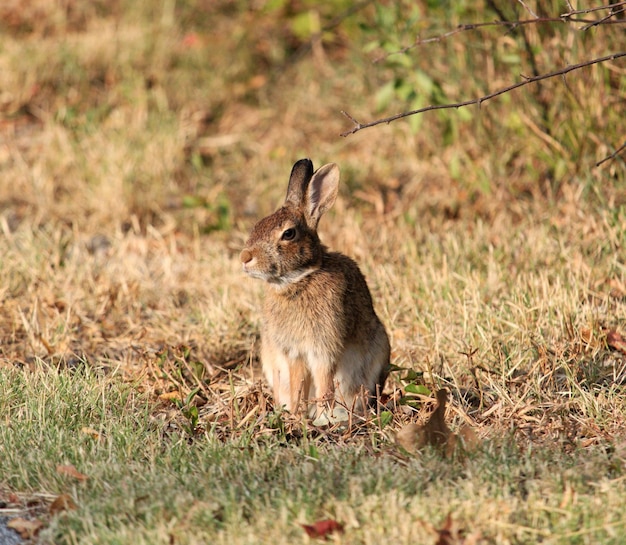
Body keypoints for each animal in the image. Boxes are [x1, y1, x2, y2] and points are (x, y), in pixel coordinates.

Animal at [240, 157, 390, 420]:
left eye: (288, 234)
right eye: (257, 225)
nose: (245, 257)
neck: (299, 280)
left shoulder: (323, 348)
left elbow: (324, 383)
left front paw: (322, 416)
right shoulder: (294, 353)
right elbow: (298, 382)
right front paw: (297, 414)